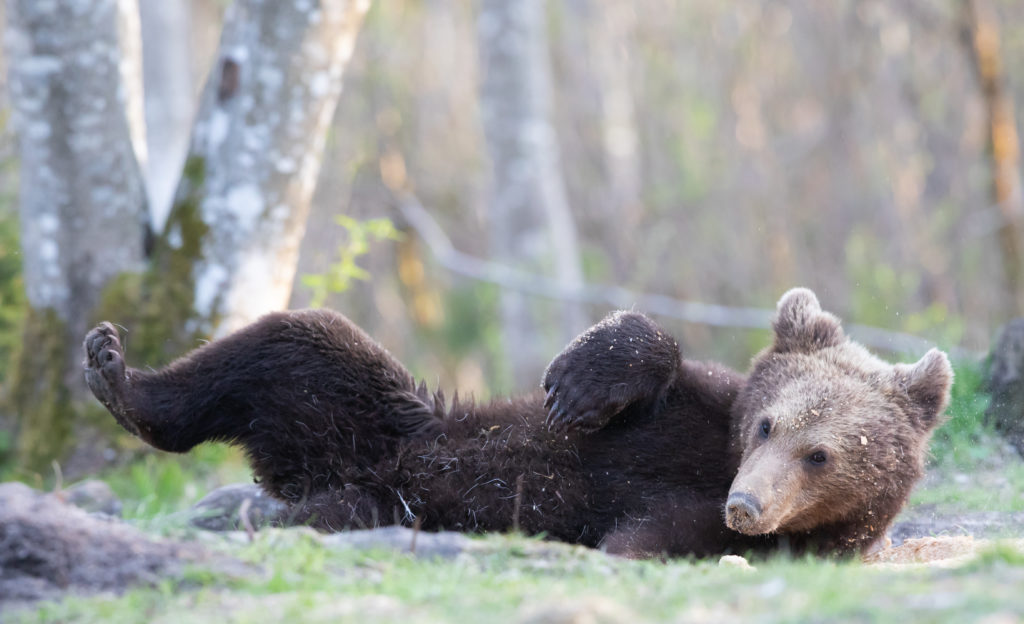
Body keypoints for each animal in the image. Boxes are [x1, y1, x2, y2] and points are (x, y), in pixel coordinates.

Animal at [86, 286, 950, 553]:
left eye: (822, 455)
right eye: (768, 424)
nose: (747, 501)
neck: (714, 465)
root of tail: (310, 474)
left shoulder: (707, 524)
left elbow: (644, 534)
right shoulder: (695, 410)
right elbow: (652, 351)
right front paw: (576, 382)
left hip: (372, 486)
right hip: (377, 414)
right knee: (287, 341)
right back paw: (113, 369)